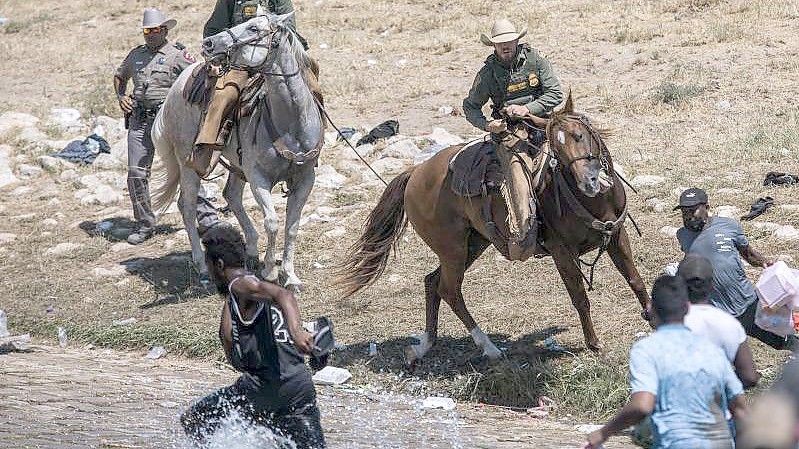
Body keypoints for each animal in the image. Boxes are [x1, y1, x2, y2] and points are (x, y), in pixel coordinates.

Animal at [152, 14, 324, 290]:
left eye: (253, 28)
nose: (209, 43)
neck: (290, 123)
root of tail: (175, 89)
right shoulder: (258, 179)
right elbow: (272, 223)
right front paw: (270, 272)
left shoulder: (305, 179)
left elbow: (292, 226)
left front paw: (290, 276)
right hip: (189, 164)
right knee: (187, 206)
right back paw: (202, 267)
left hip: (236, 165)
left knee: (230, 195)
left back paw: (251, 251)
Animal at [338, 94, 648, 360]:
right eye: (556, 149)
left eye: (579, 135)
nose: (589, 182)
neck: (593, 201)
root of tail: (414, 173)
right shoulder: (562, 253)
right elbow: (579, 297)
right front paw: (594, 344)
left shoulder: (617, 236)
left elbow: (635, 280)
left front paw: (651, 317)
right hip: (452, 249)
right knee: (450, 290)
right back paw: (488, 347)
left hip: (473, 244)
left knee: (432, 282)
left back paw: (425, 344)